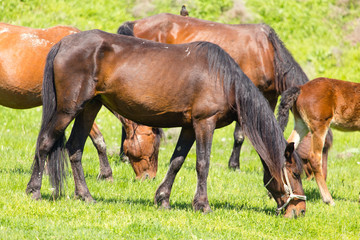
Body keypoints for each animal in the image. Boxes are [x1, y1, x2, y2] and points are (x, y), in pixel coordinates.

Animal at [26, 30, 306, 218]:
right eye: (295, 174)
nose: (301, 210)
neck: (224, 79)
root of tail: (62, 43)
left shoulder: (189, 126)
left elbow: (176, 162)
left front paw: (162, 199)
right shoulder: (204, 123)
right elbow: (202, 164)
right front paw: (202, 205)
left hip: (89, 108)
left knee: (74, 149)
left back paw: (85, 196)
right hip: (68, 109)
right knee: (45, 143)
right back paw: (34, 191)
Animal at [117, 13, 332, 172]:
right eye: (322, 150)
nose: (320, 178)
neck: (267, 51)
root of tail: (136, 23)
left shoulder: (269, 97)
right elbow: (239, 135)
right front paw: (234, 165)